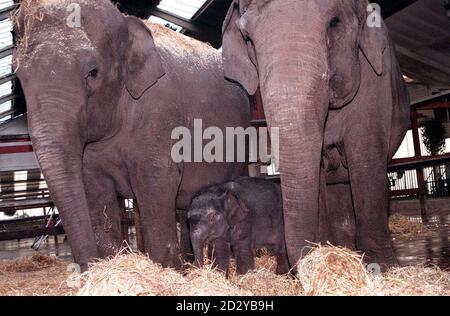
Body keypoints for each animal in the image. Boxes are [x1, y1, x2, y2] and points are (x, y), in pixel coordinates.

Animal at [13, 0, 250, 272]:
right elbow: (94, 188)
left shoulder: (160, 110)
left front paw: (166, 270)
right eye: (18, 76)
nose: (84, 270)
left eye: (93, 72)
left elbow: (157, 181)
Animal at [223, 0, 410, 270]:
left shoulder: (376, 83)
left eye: (335, 23)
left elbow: (365, 161)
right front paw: (327, 250)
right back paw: (343, 246)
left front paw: (381, 268)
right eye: (247, 37)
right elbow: (317, 171)